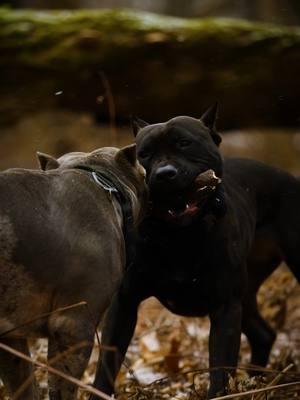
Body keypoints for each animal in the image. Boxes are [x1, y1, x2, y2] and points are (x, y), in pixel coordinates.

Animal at [92, 104, 300, 398]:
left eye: (185, 143)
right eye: (145, 154)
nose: (164, 173)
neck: (179, 235)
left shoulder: (225, 307)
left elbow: (220, 367)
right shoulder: (125, 302)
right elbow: (107, 362)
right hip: (247, 294)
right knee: (263, 333)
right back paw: (256, 381)